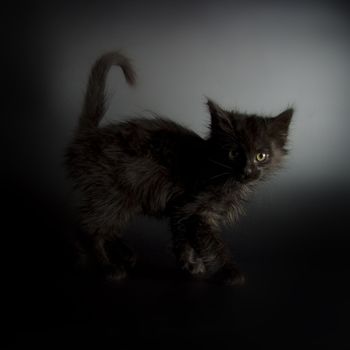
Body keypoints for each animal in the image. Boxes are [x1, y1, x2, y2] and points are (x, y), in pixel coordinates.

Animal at [65, 52, 292, 288]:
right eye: (234, 154)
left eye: (261, 156)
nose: (248, 170)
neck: (217, 170)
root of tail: (86, 138)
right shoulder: (197, 210)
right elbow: (213, 245)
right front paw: (230, 272)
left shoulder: (181, 210)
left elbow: (183, 241)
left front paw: (190, 264)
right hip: (112, 194)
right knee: (90, 230)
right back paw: (107, 266)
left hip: (121, 200)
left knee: (99, 228)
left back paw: (118, 254)